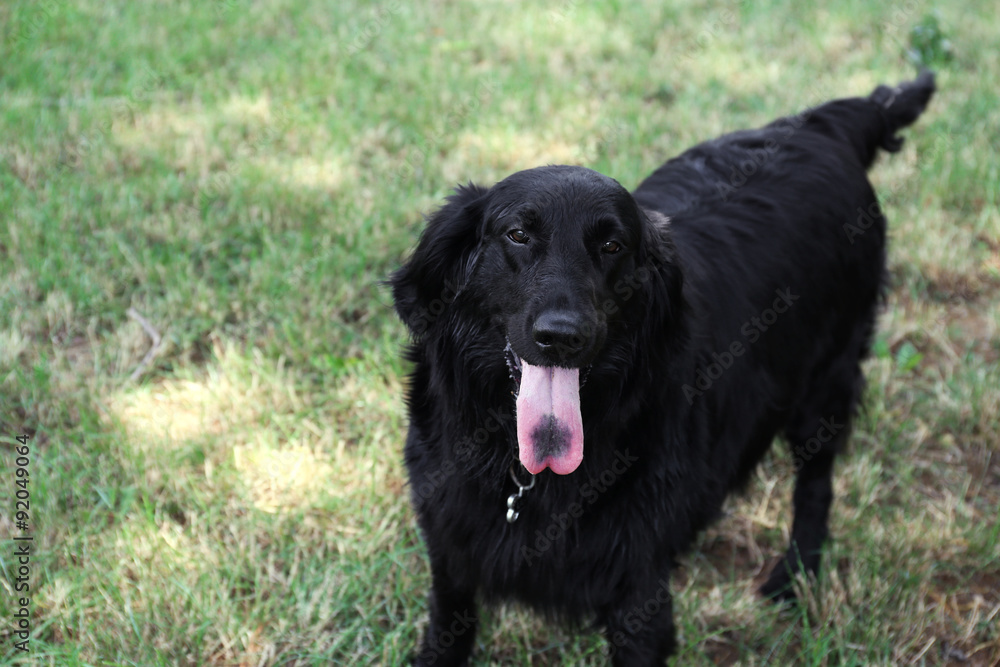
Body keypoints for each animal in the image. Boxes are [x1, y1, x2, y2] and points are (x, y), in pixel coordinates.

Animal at [392, 70, 936, 664]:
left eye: (612, 245)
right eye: (517, 234)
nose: (562, 337)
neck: (524, 474)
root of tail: (823, 126)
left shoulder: (639, 592)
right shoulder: (449, 554)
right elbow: (447, 632)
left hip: (827, 379)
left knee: (815, 484)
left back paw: (794, 577)